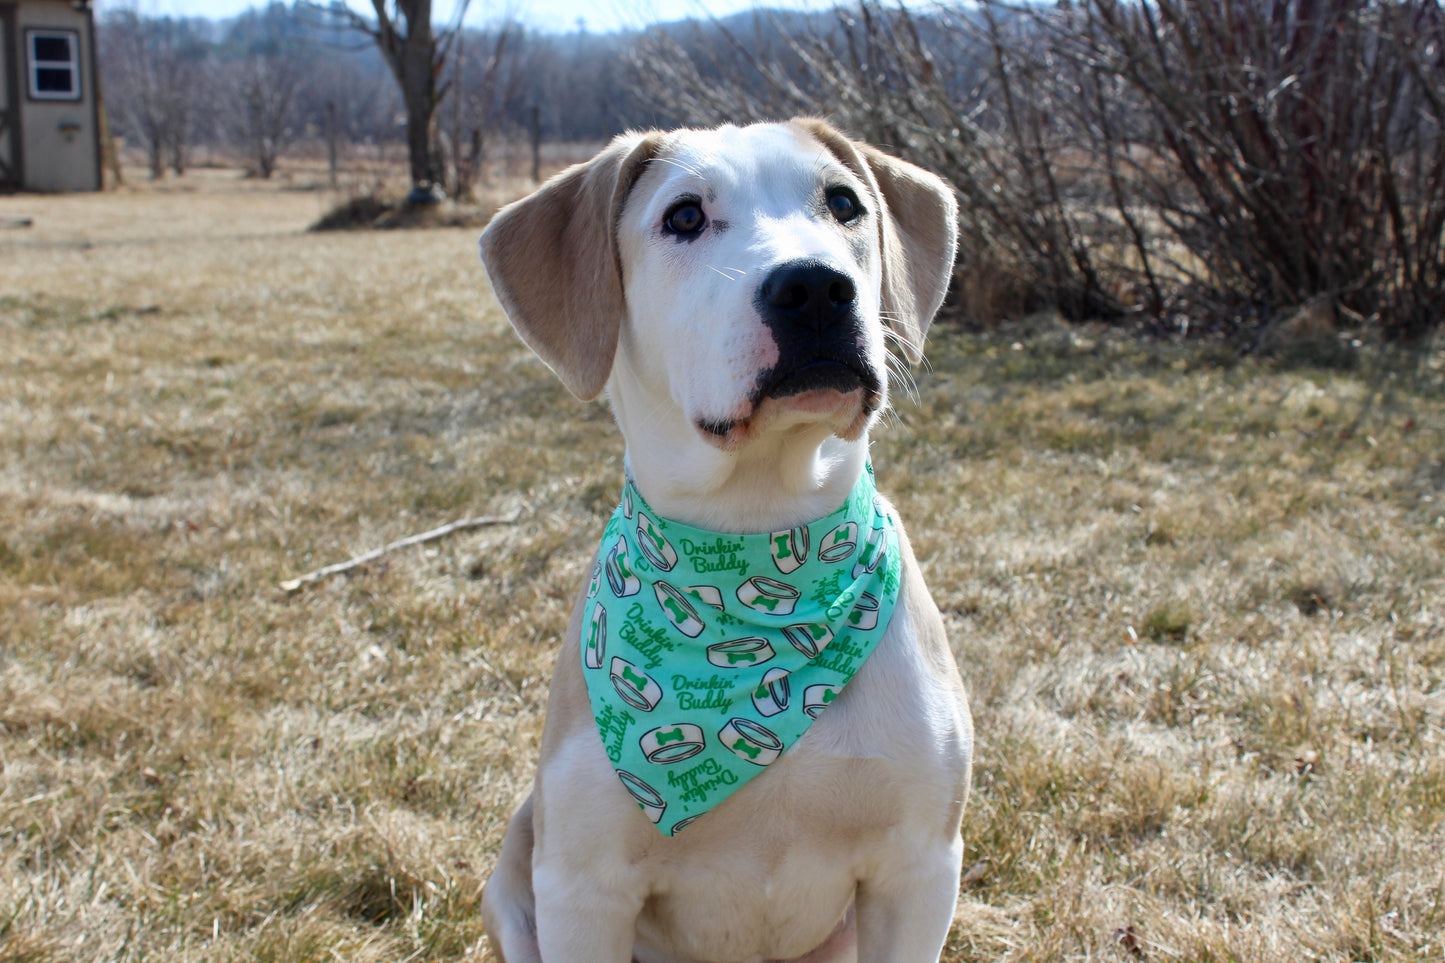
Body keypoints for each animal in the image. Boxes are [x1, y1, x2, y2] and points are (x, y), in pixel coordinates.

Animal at [479, 120, 976, 960]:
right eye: (683, 216)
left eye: (844, 203)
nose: (815, 288)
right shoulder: (581, 888)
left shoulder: (918, 868)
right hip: (515, 870)